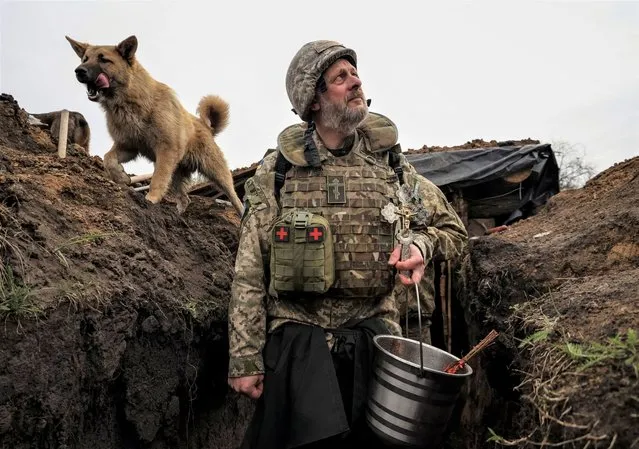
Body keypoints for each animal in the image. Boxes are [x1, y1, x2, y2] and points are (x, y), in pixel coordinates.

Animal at [65, 34, 244, 214]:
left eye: (103, 60)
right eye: (85, 59)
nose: (79, 71)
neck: (129, 100)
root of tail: (205, 126)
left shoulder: (165, 150)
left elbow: (157, 179)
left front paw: (150, 199)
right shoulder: (128, 146)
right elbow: (108, 159)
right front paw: (121, 176)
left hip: (216, 173)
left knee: (235, 198)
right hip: (176, 172)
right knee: (184, 198)